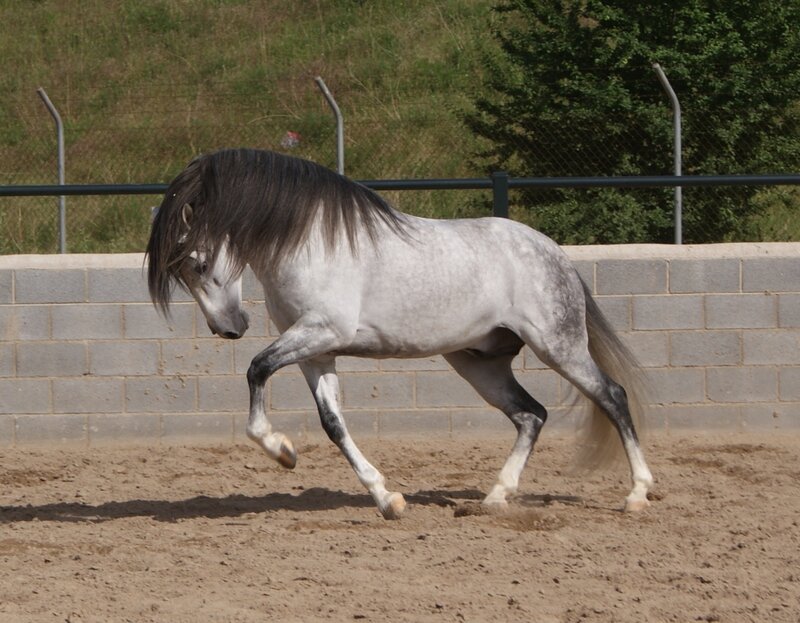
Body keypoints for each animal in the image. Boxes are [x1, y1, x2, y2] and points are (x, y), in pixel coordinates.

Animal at [146, 148, 653, 520]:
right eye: (184, 272)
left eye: (198, 263)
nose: (229, 328)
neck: (309, 241)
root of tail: (554, 253)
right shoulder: (316, 352)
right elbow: (333, 423)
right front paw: (386, 498)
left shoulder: (321, 332)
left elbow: (257, 369)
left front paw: (281, 450)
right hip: (480, 364)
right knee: (531, 415)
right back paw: (495, 497)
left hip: (558, 346)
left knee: (612, 396)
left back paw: (637, 493)